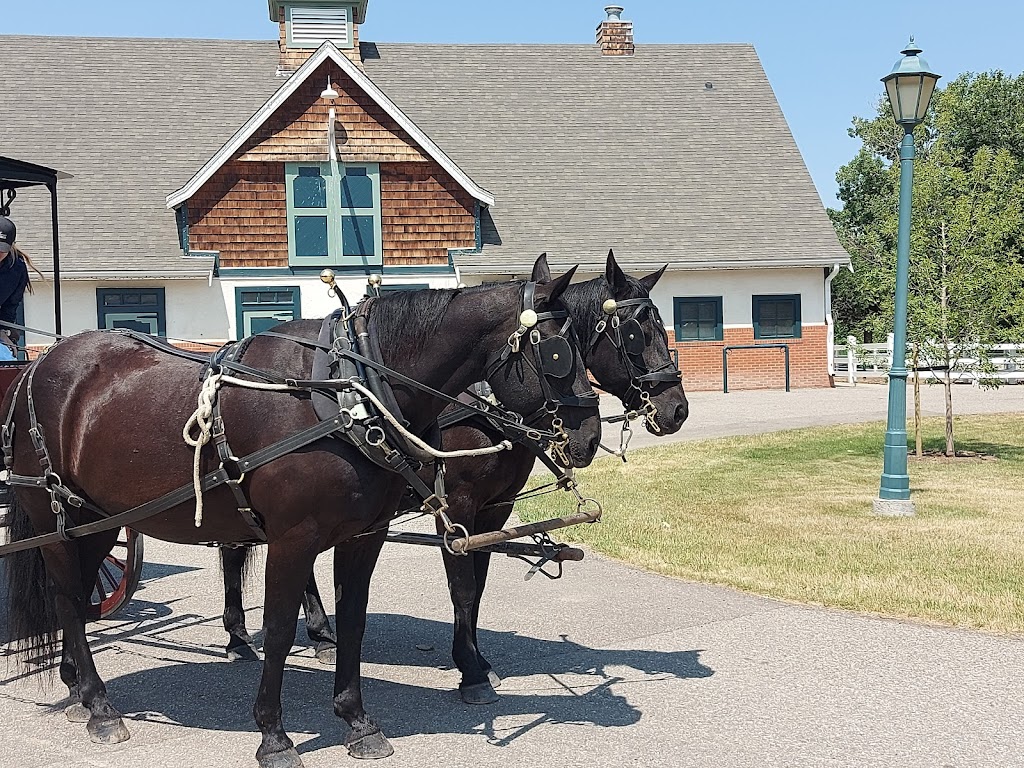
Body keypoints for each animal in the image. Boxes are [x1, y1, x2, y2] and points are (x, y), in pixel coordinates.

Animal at [4, 274, 602, 765]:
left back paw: (76, 684)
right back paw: (100, 706)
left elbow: (354, 620)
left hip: (98, 521)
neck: (348, 392)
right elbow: (278, 629)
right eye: (556, 352)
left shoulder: (363, 536)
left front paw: (357, 721)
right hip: (57, 517)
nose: (589, 437)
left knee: (75, 596)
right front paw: (273, 734)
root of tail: (38, 365)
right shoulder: (292, 539)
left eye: (584, 342)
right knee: (68, 599)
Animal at [223, 253, 688, 708]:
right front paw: (471, 672)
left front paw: (478, 659)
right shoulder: (459, 504)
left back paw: (309, 634)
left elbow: (477, 585)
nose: (678, 410)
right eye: (635, 334)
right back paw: (245, 636)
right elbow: (461, 587)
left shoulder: (496, 508)